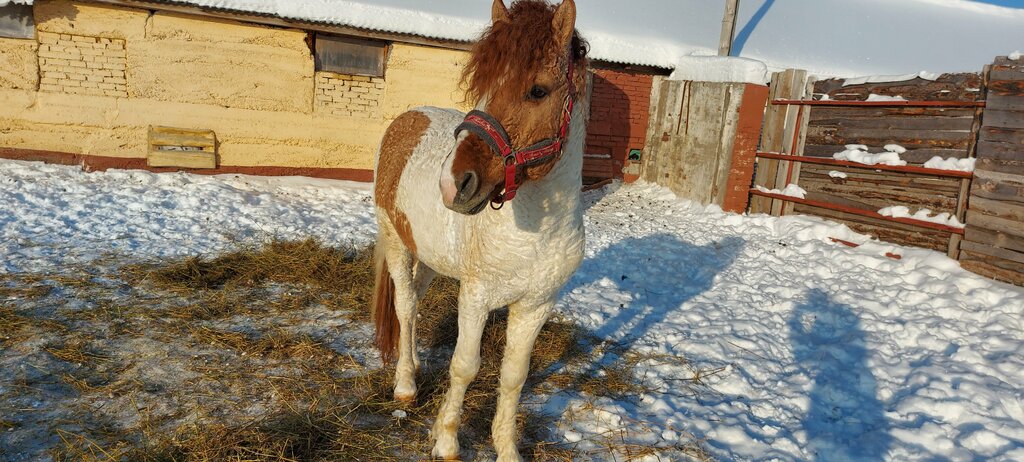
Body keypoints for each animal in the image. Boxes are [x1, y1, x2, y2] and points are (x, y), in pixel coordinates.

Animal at [372, 0, 589, 458]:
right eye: (483, 86)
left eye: (538, 90)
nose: (452, 184)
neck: (535, 232)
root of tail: (406, 118)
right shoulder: (476, 297)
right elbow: (465, 366)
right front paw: (446, 440)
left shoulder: (535, 305)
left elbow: (514, 375)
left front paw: (506, 449)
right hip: (397, 242)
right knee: (404, 305)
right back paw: (405, 384)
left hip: (430, 258)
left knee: (414, 305)